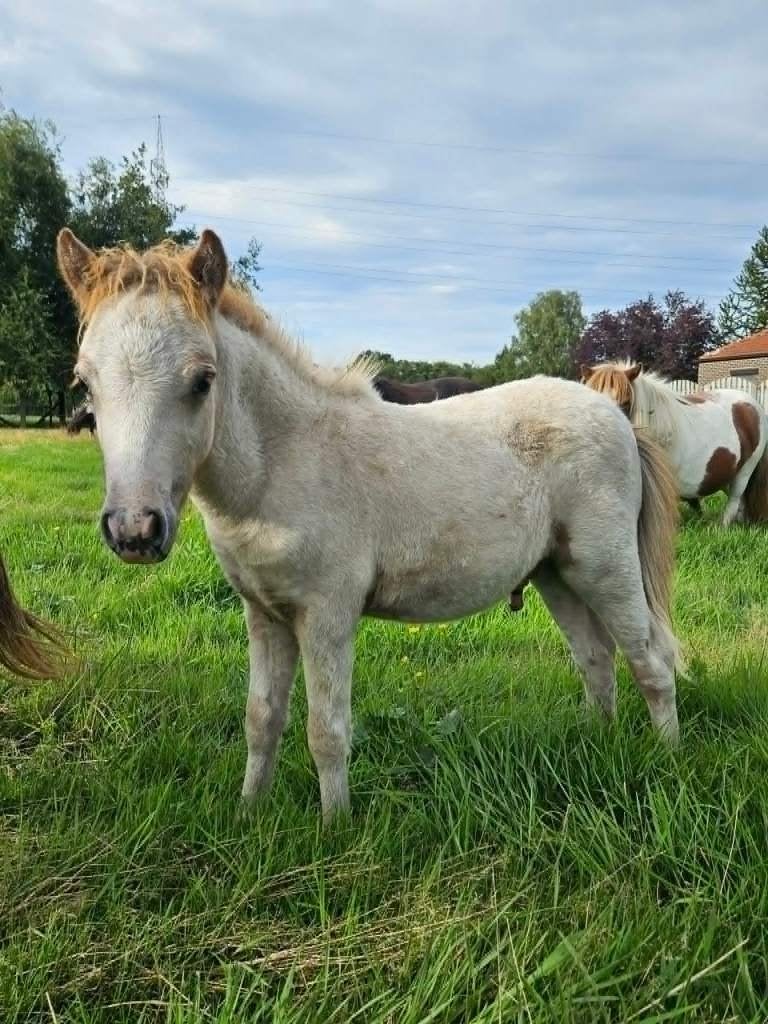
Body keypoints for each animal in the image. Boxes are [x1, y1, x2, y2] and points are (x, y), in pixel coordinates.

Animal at [57, 226, 682, 823]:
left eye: (202, 380)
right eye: (85, 384)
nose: (135, 530)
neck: (284, 464)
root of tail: (619, 419)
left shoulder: (326, 615)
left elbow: (326, 732)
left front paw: (335, 829)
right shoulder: (264, 614)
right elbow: (261, 719)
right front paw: (249, 812)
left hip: (606, 568)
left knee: (650, 661)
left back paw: (666, 759)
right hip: (557, 573)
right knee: (596, 660)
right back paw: (596, 749)